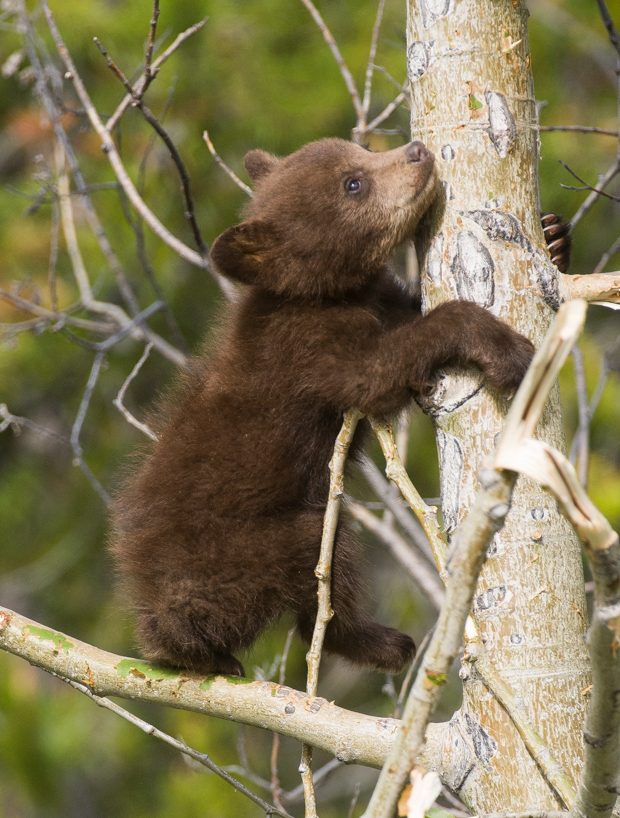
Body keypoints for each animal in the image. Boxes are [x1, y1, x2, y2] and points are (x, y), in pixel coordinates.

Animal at [111, 137, 550, 679]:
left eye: (357, 150)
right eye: (353, 184)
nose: (416, 150)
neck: (324, 295)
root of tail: (157, 622)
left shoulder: (376, 298)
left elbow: (407, 313)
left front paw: (555, 234)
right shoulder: (310, 348)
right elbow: (377, 373)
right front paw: (504, 348)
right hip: (254, 553)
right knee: (323, 563)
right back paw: (381, 644)